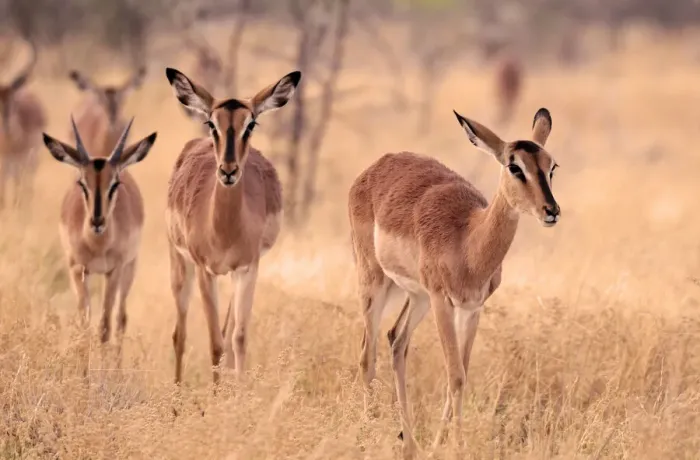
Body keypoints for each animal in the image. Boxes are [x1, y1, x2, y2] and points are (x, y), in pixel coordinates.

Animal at [0, 39, 46, 208]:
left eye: (13, 99)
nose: (6, 123)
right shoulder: (4, 161)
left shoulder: (22, 158)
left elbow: (19, 184)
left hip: (32, 159)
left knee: (26, 185)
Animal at [41, 117, 157, 347]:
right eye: (81, 183)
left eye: (114, 184)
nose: (97, 221)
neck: (96, 245)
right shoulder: (77, 270)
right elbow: (83, 324)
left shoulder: (114, 271)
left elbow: (104, 327)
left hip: (129, 268)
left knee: (121, 319)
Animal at [164, 67, 301, 384]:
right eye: (211, 123)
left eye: (250, 124)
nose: (228, 170)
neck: (224, 231)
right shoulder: (205, 271)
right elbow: (214, 343)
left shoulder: (248, 268)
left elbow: (237, 339)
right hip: (180, 263)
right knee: (180, 334)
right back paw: (177, 395)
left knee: (226, 334)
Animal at [348, 108, 559, 458]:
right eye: (514, 166)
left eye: (551, 166)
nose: (551, 211)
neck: (468, 240)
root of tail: (377, 165)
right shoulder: (442, 302)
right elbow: (455, 375)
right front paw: (457, 446)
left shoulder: (472, 308)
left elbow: (461, 370)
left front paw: (438, 444)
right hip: (374, 281)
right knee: (367, 354)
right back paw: (368, 436)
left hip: (415, 296)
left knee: (396, 341)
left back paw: (410, 443)